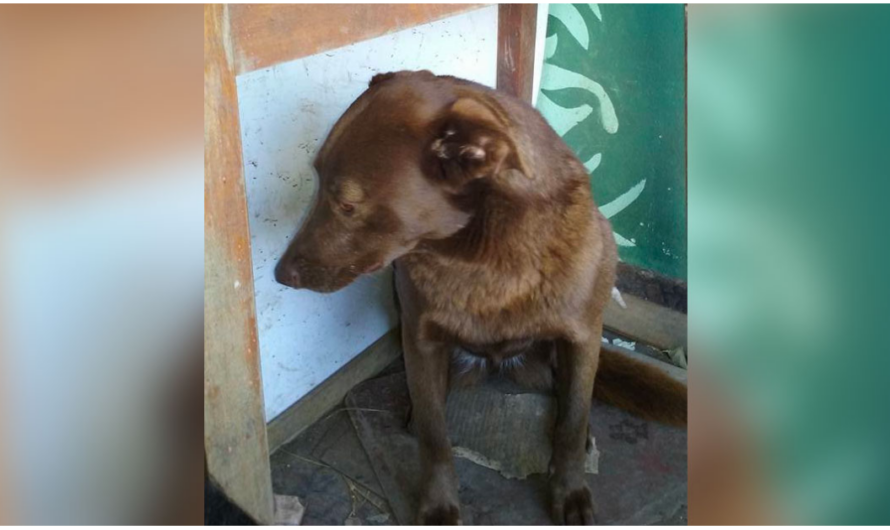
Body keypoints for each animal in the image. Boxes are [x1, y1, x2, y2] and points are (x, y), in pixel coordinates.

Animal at [274, 71, 684, 524]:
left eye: (347, 204)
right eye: (315, 180)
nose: (280, 275)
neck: (482, 256)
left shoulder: (582, 337)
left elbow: (572, 421)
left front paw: (570, 491)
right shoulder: (421, 341)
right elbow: (435, 436)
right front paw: (438, 505)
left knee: (570, 401)